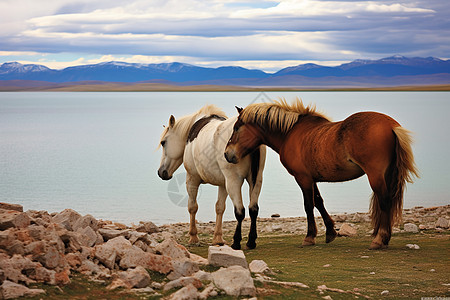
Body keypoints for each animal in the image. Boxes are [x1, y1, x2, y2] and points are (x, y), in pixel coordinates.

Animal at [157, 104, 266, 250]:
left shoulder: (192, 179)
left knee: (240, 211)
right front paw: (218, 239)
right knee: (253, 209)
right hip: (256, 180)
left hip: (234, 182)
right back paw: (251, 241)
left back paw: (236, 242)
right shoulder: (223, 184)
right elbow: (220, 208)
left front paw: (193, 237)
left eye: (163, 142)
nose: (161, 172)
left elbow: (192, 206)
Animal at [225, 99, 418, 250]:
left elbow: (308, 205)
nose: (227, 154)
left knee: (385, 201)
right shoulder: (311, 178)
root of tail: (391, 126)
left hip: (376, 176)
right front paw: (330, 232)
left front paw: (309, 237)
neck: (290, 133)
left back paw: (379, 240)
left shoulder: (302, 178)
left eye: (236, 128)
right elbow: (318, 201)